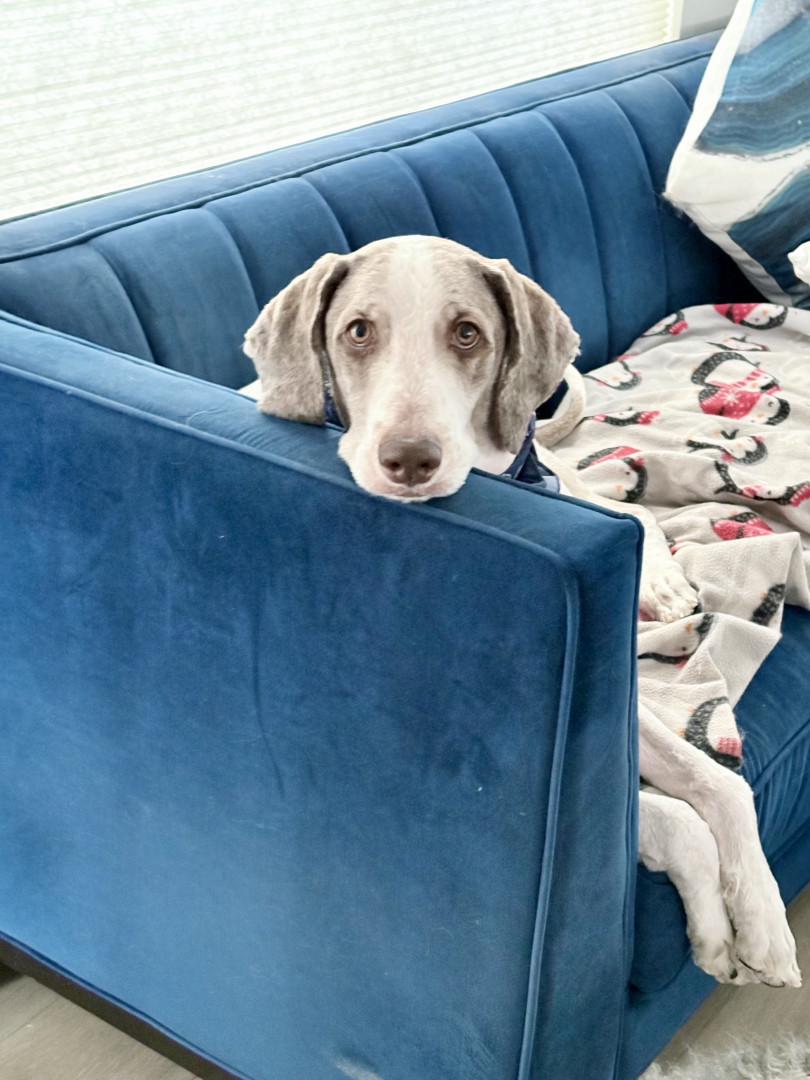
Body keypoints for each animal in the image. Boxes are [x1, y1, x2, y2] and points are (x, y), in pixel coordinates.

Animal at [242, 235, 800, 988]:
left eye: (467, 333)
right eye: (357, 332)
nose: (409, 459)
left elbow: (717, 783)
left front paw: (763, 923)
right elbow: (673, 820)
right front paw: (715, 928)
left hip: (565, 488)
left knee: (628, 515)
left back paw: (664, 595)